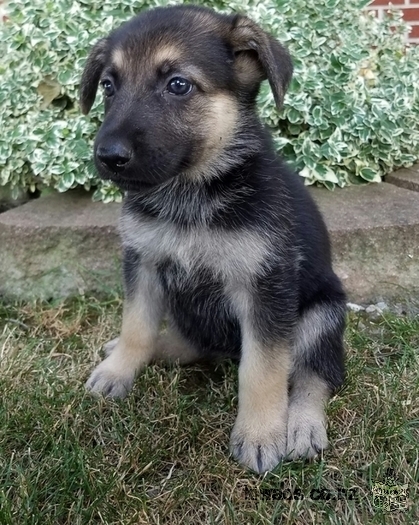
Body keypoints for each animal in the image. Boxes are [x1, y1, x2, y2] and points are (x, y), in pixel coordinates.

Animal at [80, 4, 346, 472]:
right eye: (109, 86)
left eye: (178, 84)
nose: (108, 157)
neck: (191, 192)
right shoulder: (143, 262)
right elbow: (136, 326)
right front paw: (118, 370)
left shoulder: (266, 286)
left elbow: (263, 369)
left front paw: (260, 434)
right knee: (189, 342)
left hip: (324, 313)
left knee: (316, 375)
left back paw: (302, 425)